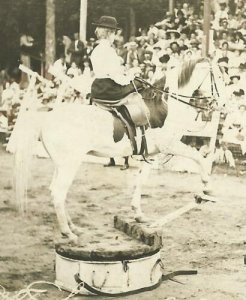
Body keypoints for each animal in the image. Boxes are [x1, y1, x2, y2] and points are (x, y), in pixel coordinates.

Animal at [7, 58, 225, 241]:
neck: (166, 106)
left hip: (61, 165)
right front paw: (207, 187)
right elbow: (199, 157)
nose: (222, 104)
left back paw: (72, 227)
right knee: (59, 192)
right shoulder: (170, 146)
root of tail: (46, 117)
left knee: (56, 190)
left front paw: (138, 214)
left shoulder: (151, 154)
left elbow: (141, 180)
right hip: (70, 164)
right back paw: (68, 232)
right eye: (219, 77)